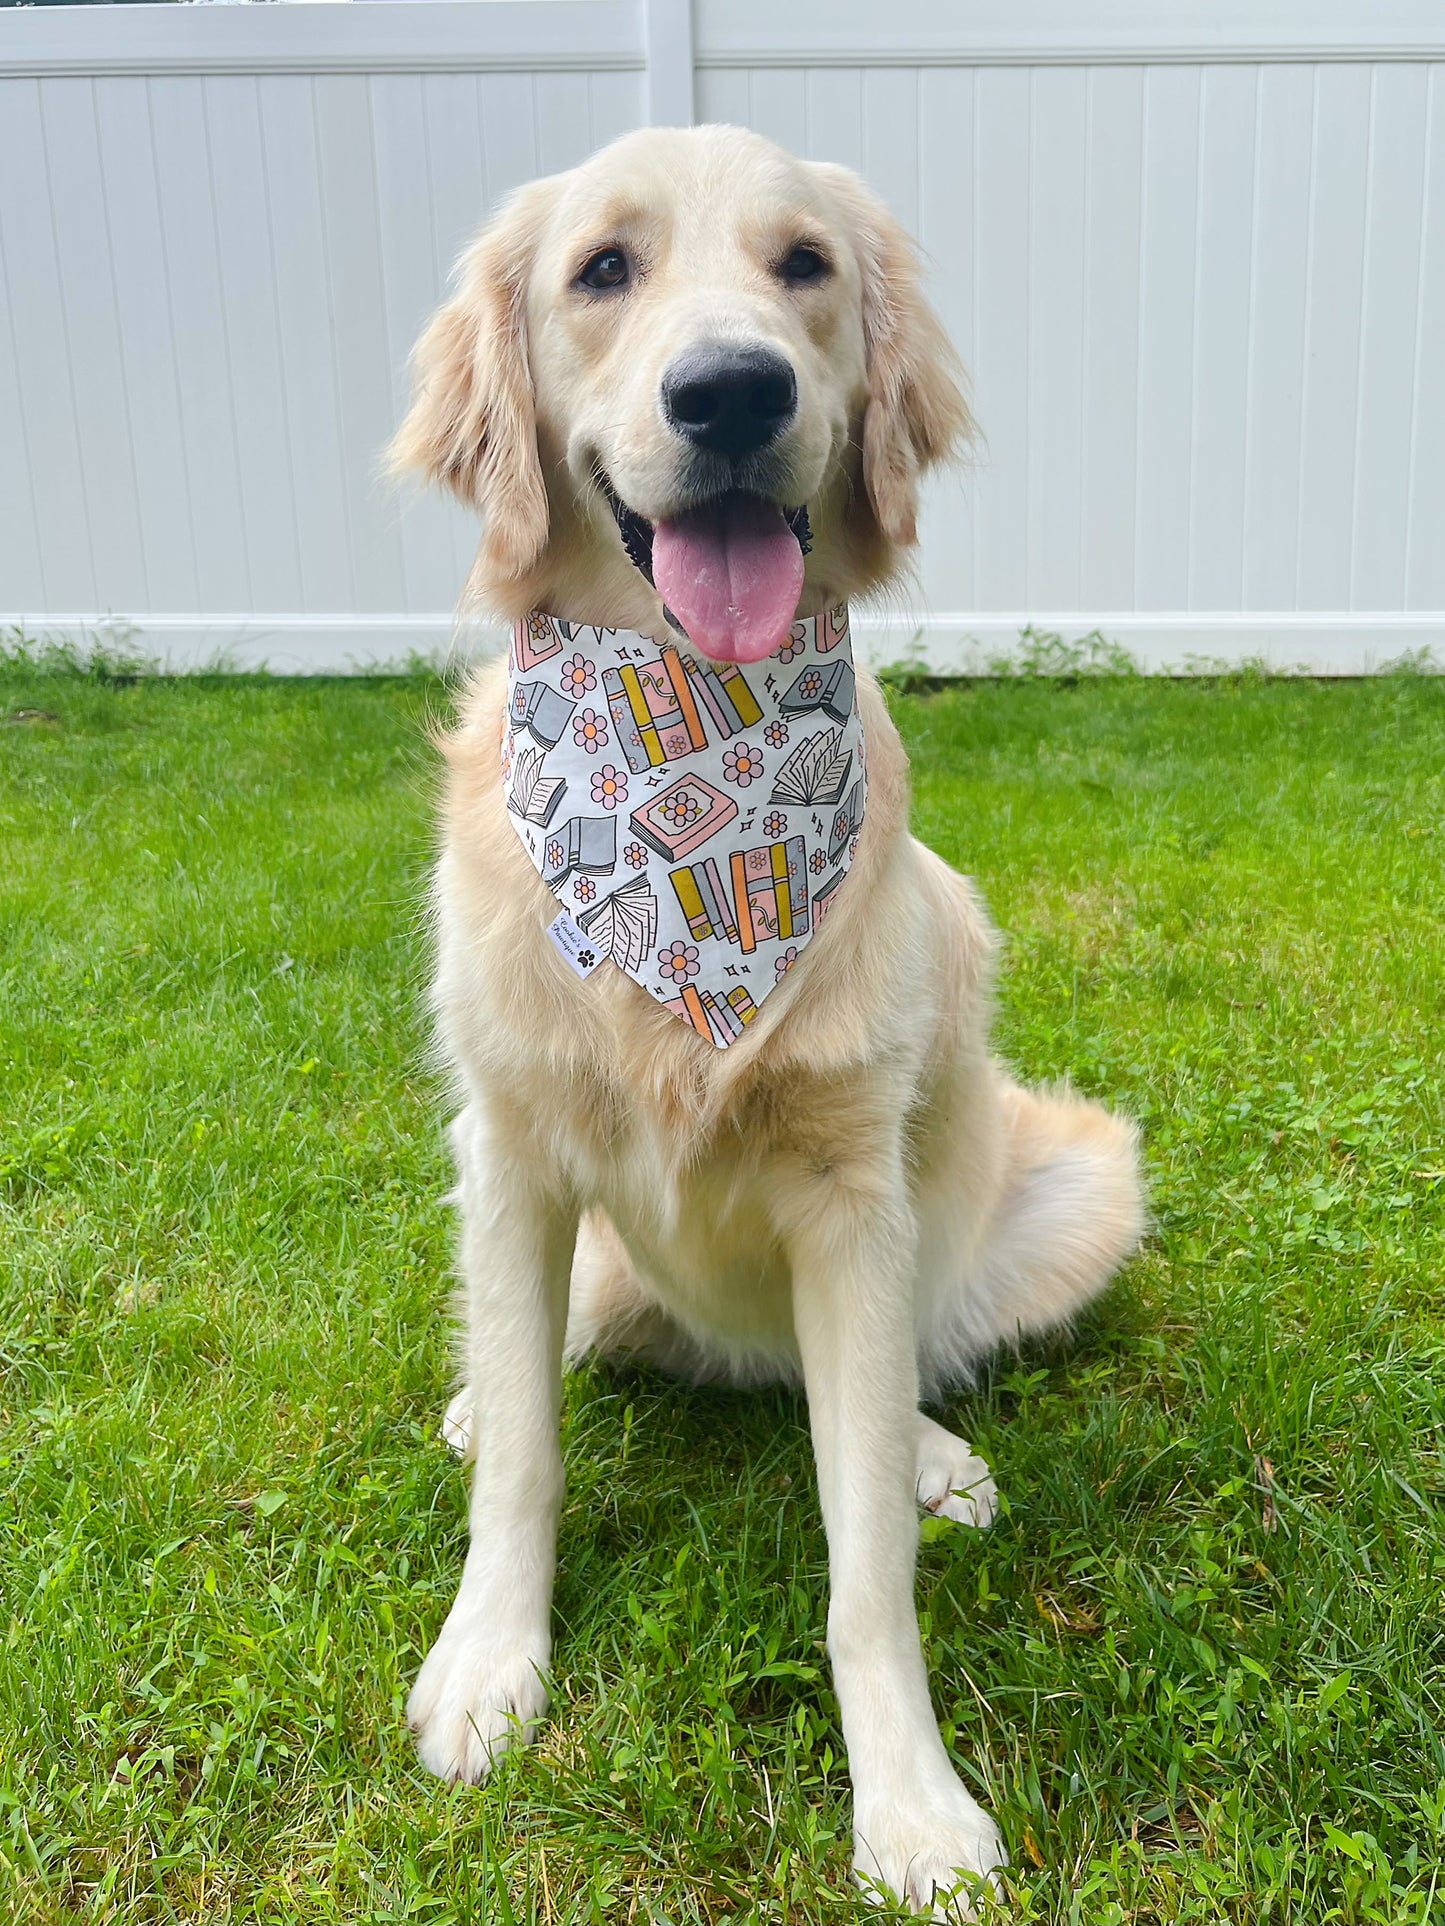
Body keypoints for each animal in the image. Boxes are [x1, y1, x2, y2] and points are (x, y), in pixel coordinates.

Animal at [391, 128, 1148, 1918]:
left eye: (802, 265)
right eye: (602, 270)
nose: (731, 391)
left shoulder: (851, 1202)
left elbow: (865, 1560)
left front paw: (913, 1807)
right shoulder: (509, 1152)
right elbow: (527, 1461)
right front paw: (489, 1660)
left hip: (1073, 1179)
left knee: (893, 1374)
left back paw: (930, 1449)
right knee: (548, 1356)